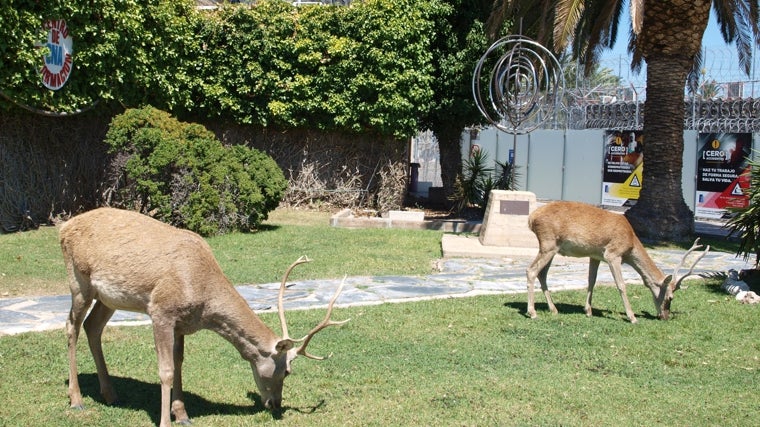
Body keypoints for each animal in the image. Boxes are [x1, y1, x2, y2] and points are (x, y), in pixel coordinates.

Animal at [60, 206, 350, 426]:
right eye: (287, 371)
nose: (275, 404)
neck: (203, 300)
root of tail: (63, 227)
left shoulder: (182, 323)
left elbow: (179, 363)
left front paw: (182, 415)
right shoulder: (161, 311)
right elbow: (166, 370)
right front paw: (165, 421)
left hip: (108, 297)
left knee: (93, 327)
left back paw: (110, 394)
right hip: (78, 281)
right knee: (71, 326)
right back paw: (76, 400)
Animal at [524, 202, 708, 322]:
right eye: (670, 297)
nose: (665, 316)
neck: (630, 243)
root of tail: (532, 218)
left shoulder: (595, 255)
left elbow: (591, 281)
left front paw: (588, 311)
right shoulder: (613, 254)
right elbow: (621, 284)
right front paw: (632, 317)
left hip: (552, 248)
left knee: (542, 274)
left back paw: (553, 309)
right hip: (548, 243)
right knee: (531, 270)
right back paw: (532, 312)